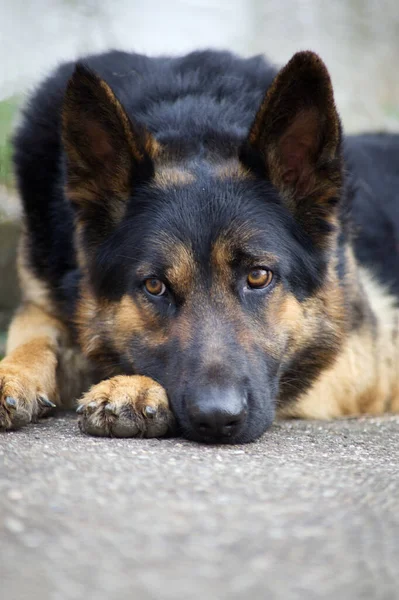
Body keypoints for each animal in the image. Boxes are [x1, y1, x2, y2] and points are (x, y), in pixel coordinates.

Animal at [0, 49, 399, 442]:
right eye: (155, 286)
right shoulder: (40, 300)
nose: (218, 419)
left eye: (258, 276)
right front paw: (13, 373)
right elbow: (32, 335)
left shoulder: (363, 362)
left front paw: (132, 385)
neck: (193, 116)